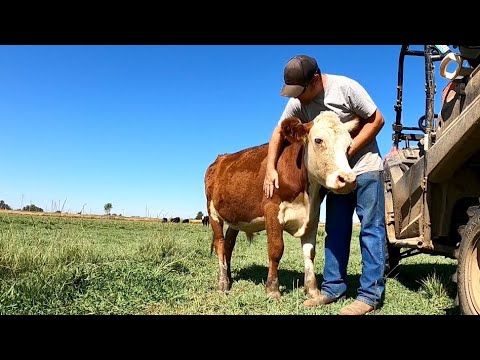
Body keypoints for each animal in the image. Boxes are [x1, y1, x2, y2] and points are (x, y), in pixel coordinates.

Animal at [204, 111, 358, 300]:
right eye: (318, 140)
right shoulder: (272, 209)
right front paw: (272, 289)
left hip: (236, 217)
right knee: (219, 244)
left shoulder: (312, 215)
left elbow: (310, 252)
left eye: (348, 145)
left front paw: (312, 290)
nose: (348, 179)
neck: (306, 195)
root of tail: (221, 158)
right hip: (212, 212)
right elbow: (276, 249)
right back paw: (223, 282)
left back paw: (229, 277)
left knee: (228, 245)